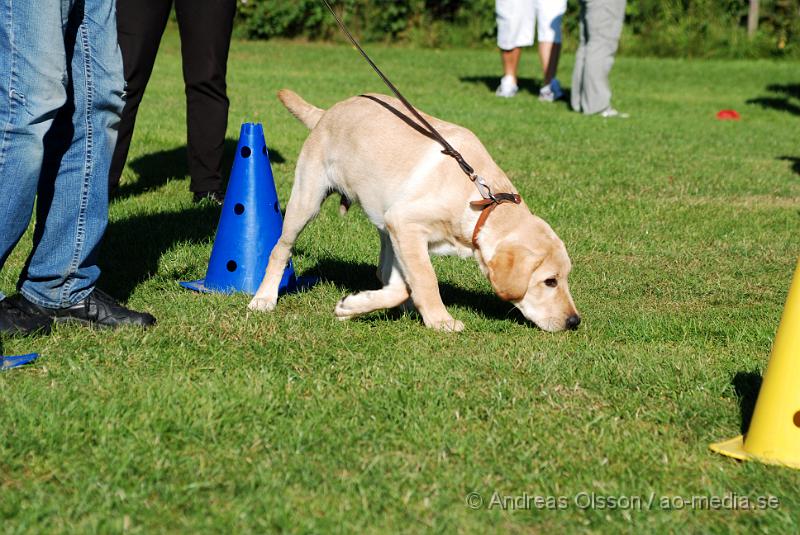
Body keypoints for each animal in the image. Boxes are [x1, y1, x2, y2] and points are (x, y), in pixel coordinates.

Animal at [247, 90, 580, 332]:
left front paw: (353, 305)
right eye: (550, 281)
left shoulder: (400, 232)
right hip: (306, 202)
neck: (483, 200)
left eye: (565, 278)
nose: (574, 321)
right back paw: (264, 298)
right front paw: (440, 320)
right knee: (280, 249)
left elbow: (404, 286)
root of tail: (328, 112)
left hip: (383, 223)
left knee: (383, 271)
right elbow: (425, 280)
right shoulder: (405, 224)